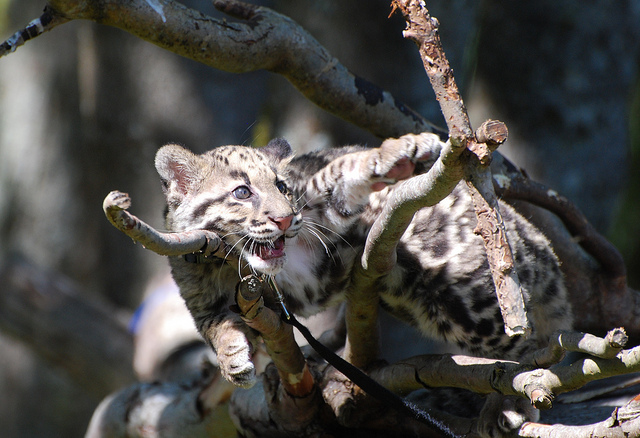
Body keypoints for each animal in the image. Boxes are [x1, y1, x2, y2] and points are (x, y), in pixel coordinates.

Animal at [154, 133, 568, 434]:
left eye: (283, 188)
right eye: (242, 192)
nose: (285, 219)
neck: (236, 264)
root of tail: (535, 238)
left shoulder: (320, 209)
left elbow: (337, 173)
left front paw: (396, 153)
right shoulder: (202, 302)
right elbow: (217, 328)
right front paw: (232, 359)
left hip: (470, 297)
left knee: (530, 343)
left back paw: (512, 399)